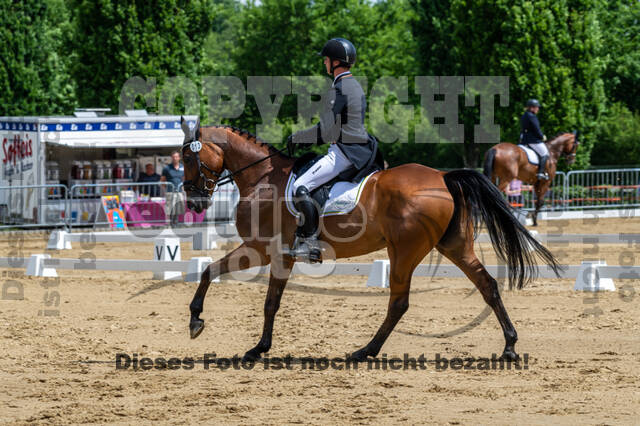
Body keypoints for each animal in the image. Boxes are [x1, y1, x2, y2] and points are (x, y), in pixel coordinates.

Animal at [179, 117, 560, 362]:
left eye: (186, 156)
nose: (194, 202)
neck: (262, 179)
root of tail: (442, 176)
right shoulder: (269, 252)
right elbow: (220, 276)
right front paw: (216, 329)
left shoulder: (267, 250)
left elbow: (257, 296)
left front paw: (232, 337)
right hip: (453, 246)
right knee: (487, 285)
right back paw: (509, 346)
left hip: (405, 251)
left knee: (399, 303)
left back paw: (365, 351)